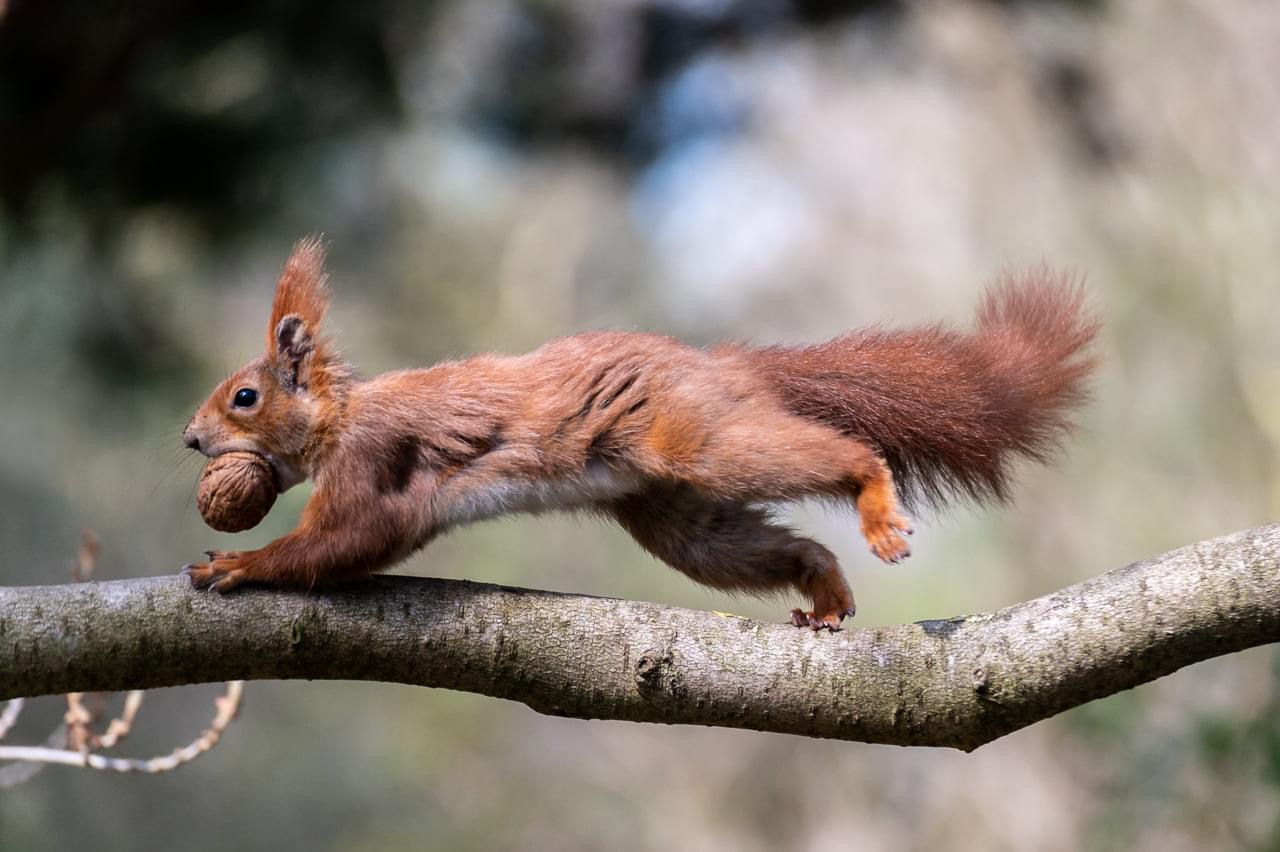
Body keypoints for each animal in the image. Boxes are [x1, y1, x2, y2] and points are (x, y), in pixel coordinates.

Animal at [183, 235, 1100, 626]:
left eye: (244, 397)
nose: (190, 440)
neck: (342, 415)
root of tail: (725, 367)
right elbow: (363, 546)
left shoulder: (374, 463)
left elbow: (346, 539)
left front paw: (239, 564)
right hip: (677, 516)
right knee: (761, 546)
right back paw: (826, 588)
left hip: (696, 441)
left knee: (844, 453)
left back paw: (872, 497)